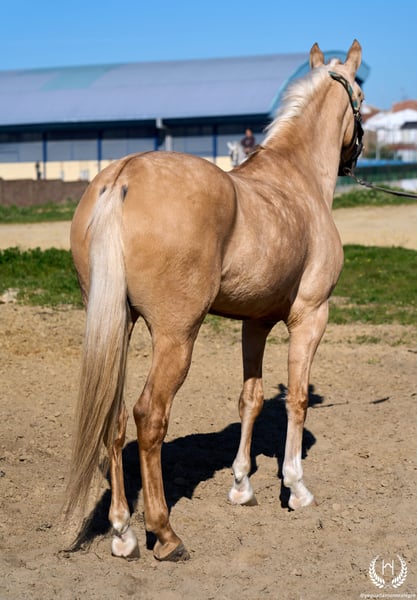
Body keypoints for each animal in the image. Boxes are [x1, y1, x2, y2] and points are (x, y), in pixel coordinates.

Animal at [66, 40, 364, 562]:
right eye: (361, 97)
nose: (356, 155)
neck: (297, 179)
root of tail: (123, 176)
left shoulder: (255, 322)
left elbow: (252, 397)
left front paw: (242, 486)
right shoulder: (310, 316)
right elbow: (297, 399)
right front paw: (296, 488)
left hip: (116, 325)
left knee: (115, 418)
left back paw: (123, 532)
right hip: (176, 336)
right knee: (149, 417)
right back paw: (164, 535)